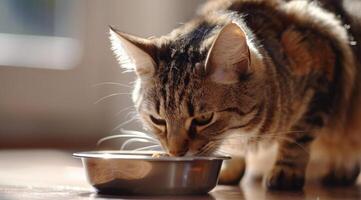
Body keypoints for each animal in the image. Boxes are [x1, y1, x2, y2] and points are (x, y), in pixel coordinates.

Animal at [109, 0, 360, 191]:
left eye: (203, 119)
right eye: (157, 120)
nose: (176, 153)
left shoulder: (322, 71)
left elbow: (296, 139)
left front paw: (285, 171)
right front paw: (229, 171)